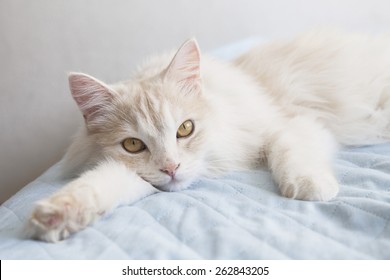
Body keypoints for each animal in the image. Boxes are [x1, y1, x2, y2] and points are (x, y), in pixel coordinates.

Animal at [25, 29, 390, 242]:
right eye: (133, 145)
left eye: (185, 129)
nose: (171, 168)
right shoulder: (133, 176)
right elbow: (100, 184)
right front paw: (55, 216)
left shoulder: (292, 121)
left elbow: (286, 149)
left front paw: (309, 187)